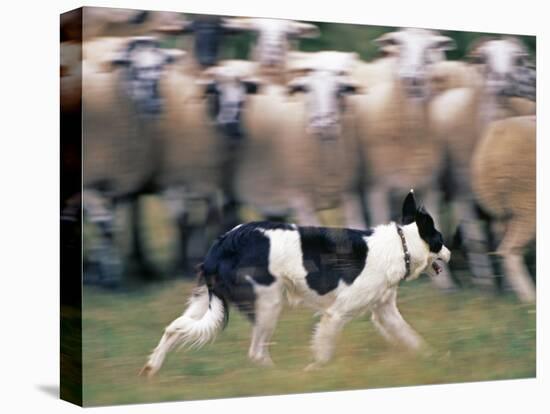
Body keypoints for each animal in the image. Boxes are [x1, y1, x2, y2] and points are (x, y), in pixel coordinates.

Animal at [142, 191, 452, 376]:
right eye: (439, 239)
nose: (450, 253)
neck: (401, 245)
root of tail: (220, 246)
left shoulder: (384, 311)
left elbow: (412, 337)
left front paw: (434, 358)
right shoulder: (336, 313)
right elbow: (324, 351)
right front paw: (313, 372)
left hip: (204, 302)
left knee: (174, 327)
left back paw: (152, 367)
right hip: (269, 303)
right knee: (256, 352)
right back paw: (278, 377)